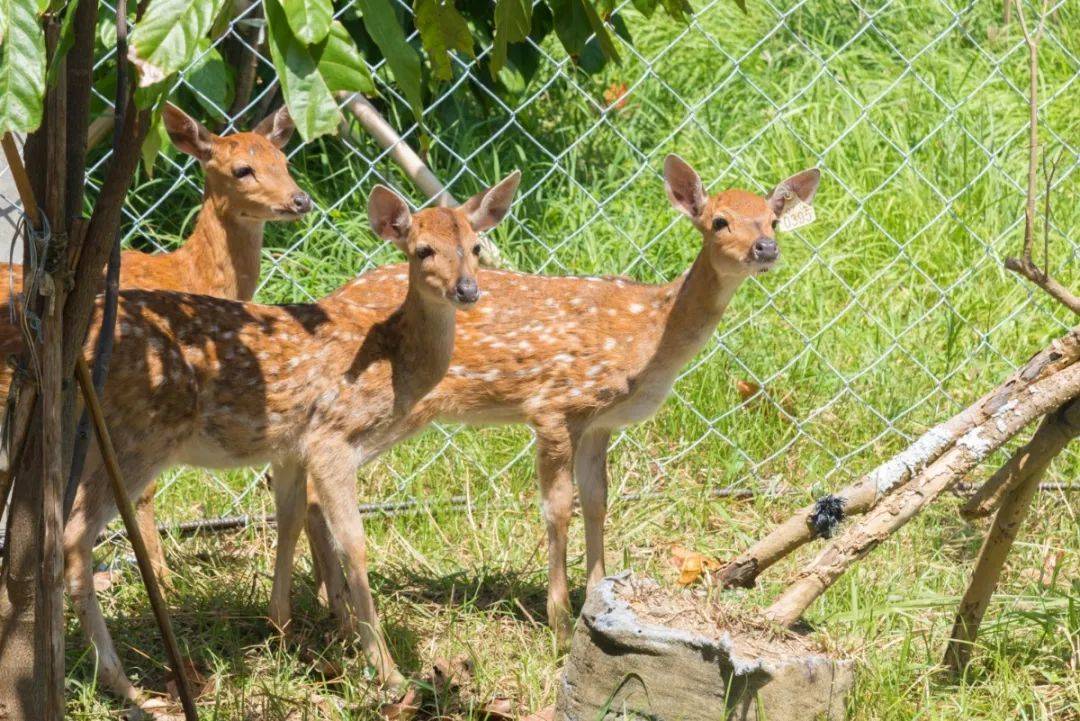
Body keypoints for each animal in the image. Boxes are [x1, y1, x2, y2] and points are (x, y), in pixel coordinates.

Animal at [61, 174, 520, 708]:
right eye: (423, 249)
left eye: (476, 245)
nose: (467, 289)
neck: (394, 363)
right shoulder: (331, 439)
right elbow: (354, 543)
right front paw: (388, 672)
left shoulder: (289, 448)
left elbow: (290, 519)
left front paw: (282, 631)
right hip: (137, 437)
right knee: (74, 535)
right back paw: (125, 685)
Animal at [302, 155, 816, 638]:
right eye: (720, 221)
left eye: (772, 219)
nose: (766, 247)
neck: (649, 334)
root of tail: (330, 298)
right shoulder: (555, 405)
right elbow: (558, 508)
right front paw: (560, 624)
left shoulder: (600, 421)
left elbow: (597, 499)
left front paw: (598, 594)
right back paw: (338, 612)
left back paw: (329, 607)